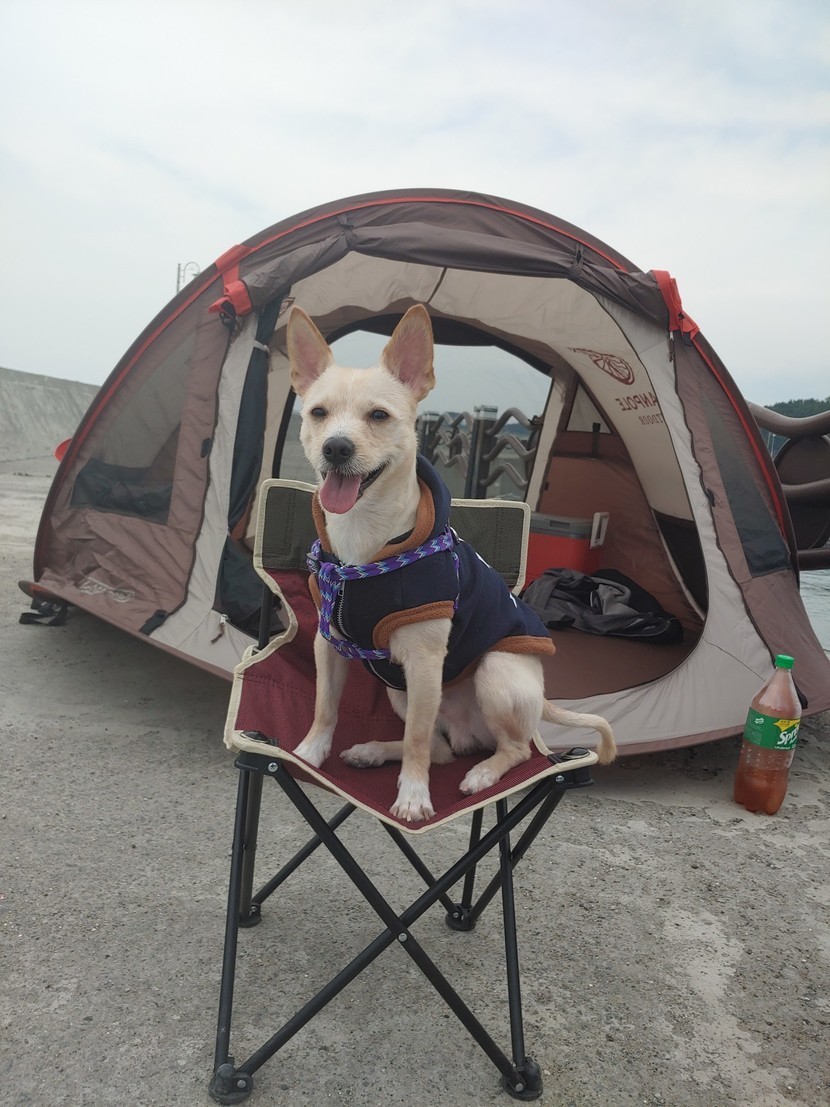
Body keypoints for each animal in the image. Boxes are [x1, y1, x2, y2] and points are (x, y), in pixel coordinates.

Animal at [287, 304, 616, 822]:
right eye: (318, 413)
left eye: (378, 416)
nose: (336, 447)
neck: (364, 542)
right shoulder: (329, 644)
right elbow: (325, 706)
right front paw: (308, 753)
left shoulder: (424, 663)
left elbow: (418, 742)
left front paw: (414, 795)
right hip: (401, 689)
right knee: (440, 747)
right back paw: (374, 750)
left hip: (493, 672)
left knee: (506, 747)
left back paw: (481, 772)